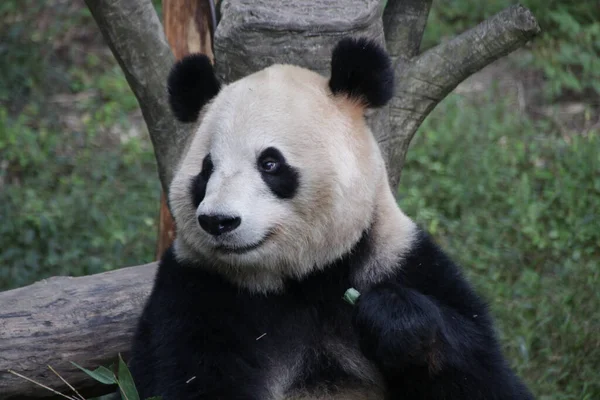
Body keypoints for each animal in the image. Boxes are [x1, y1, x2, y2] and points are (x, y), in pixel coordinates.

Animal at [127, 37, 536, 400]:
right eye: (206, 170)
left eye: (270, 163)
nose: (218, 222)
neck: (300, 279)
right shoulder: (197, 294)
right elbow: (188, 378)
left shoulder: (403, 260)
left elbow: (486, 372)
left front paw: (392, 319)